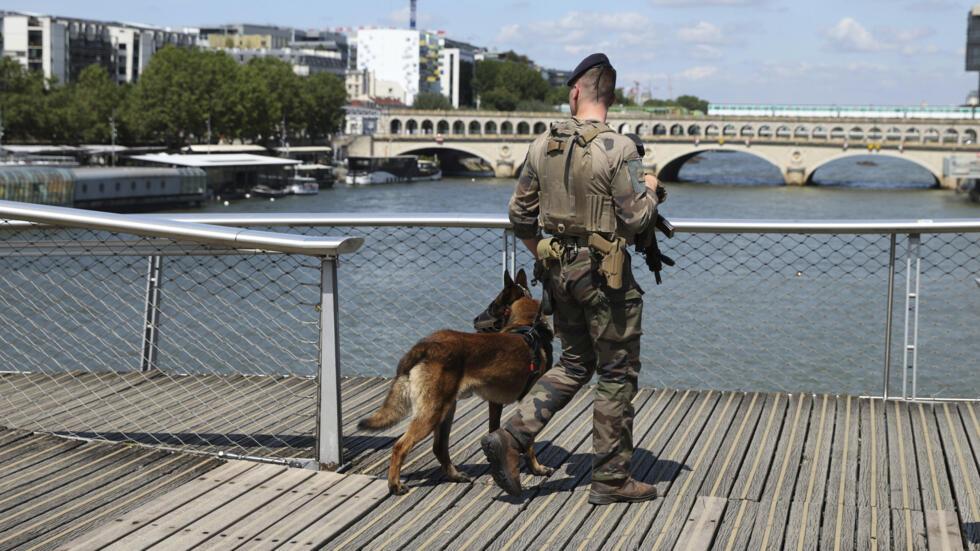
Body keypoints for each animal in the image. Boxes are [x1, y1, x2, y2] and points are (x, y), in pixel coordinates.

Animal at [360, 270, 560, 496]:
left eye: (492, 305)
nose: (475, 319)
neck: (525, 325)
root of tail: (425, 345)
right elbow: (530, 443)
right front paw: (537, 469)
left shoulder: (495, 403)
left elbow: (494, 430)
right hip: (433, 413)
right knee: (400, 446)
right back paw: (395, 485)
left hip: (446, 409)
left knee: (439, 447)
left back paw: (454, 475)